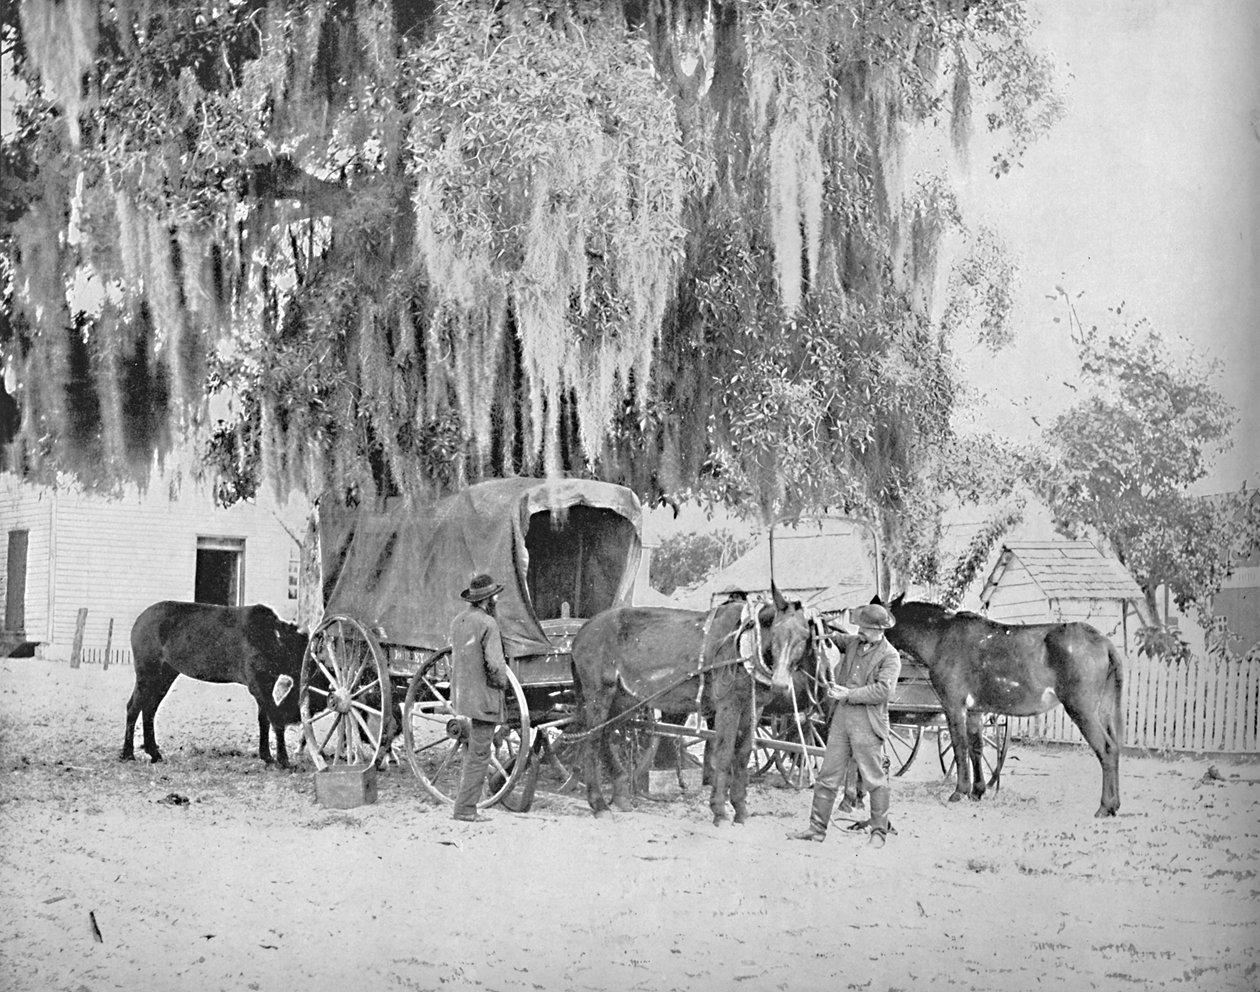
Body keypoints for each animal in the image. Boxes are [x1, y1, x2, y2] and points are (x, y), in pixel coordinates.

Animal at [122, 602, 309, 771]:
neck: (272, 638)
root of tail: (141, 619)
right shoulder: (258, 686)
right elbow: (275, 719)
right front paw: (283, 761)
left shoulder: (267, 685)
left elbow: (265, 720)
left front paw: (268, 757)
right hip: (148, 674)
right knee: (134, 708)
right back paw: (127, 754)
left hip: (164, 676)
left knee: (149, 710)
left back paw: (154, 753)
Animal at [567, 584, 811, 826]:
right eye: (775, 631)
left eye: (805, 638)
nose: (781, 684)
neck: (746, 642)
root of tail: (585, 628)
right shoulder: (728, 705)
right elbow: (724, 754)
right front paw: (720, 812)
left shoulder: (753, 708)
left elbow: (742, 756)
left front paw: (740, 811)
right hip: (599, 693)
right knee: (592, 740)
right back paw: (599, 803)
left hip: (625, 699)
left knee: (605, 735)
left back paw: (619, 796)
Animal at [876, 597, 1123, 816]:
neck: (941, 636)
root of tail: (1104, 642)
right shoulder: (975, 711)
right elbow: (976, 749)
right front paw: (977, 791)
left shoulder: (954, 706)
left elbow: (960, 747)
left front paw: (960, 791)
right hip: (1103, 712)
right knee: (1115, 747)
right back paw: (1114, 804)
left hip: (1082, 709)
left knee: (1106, 749)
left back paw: (1105, 807)